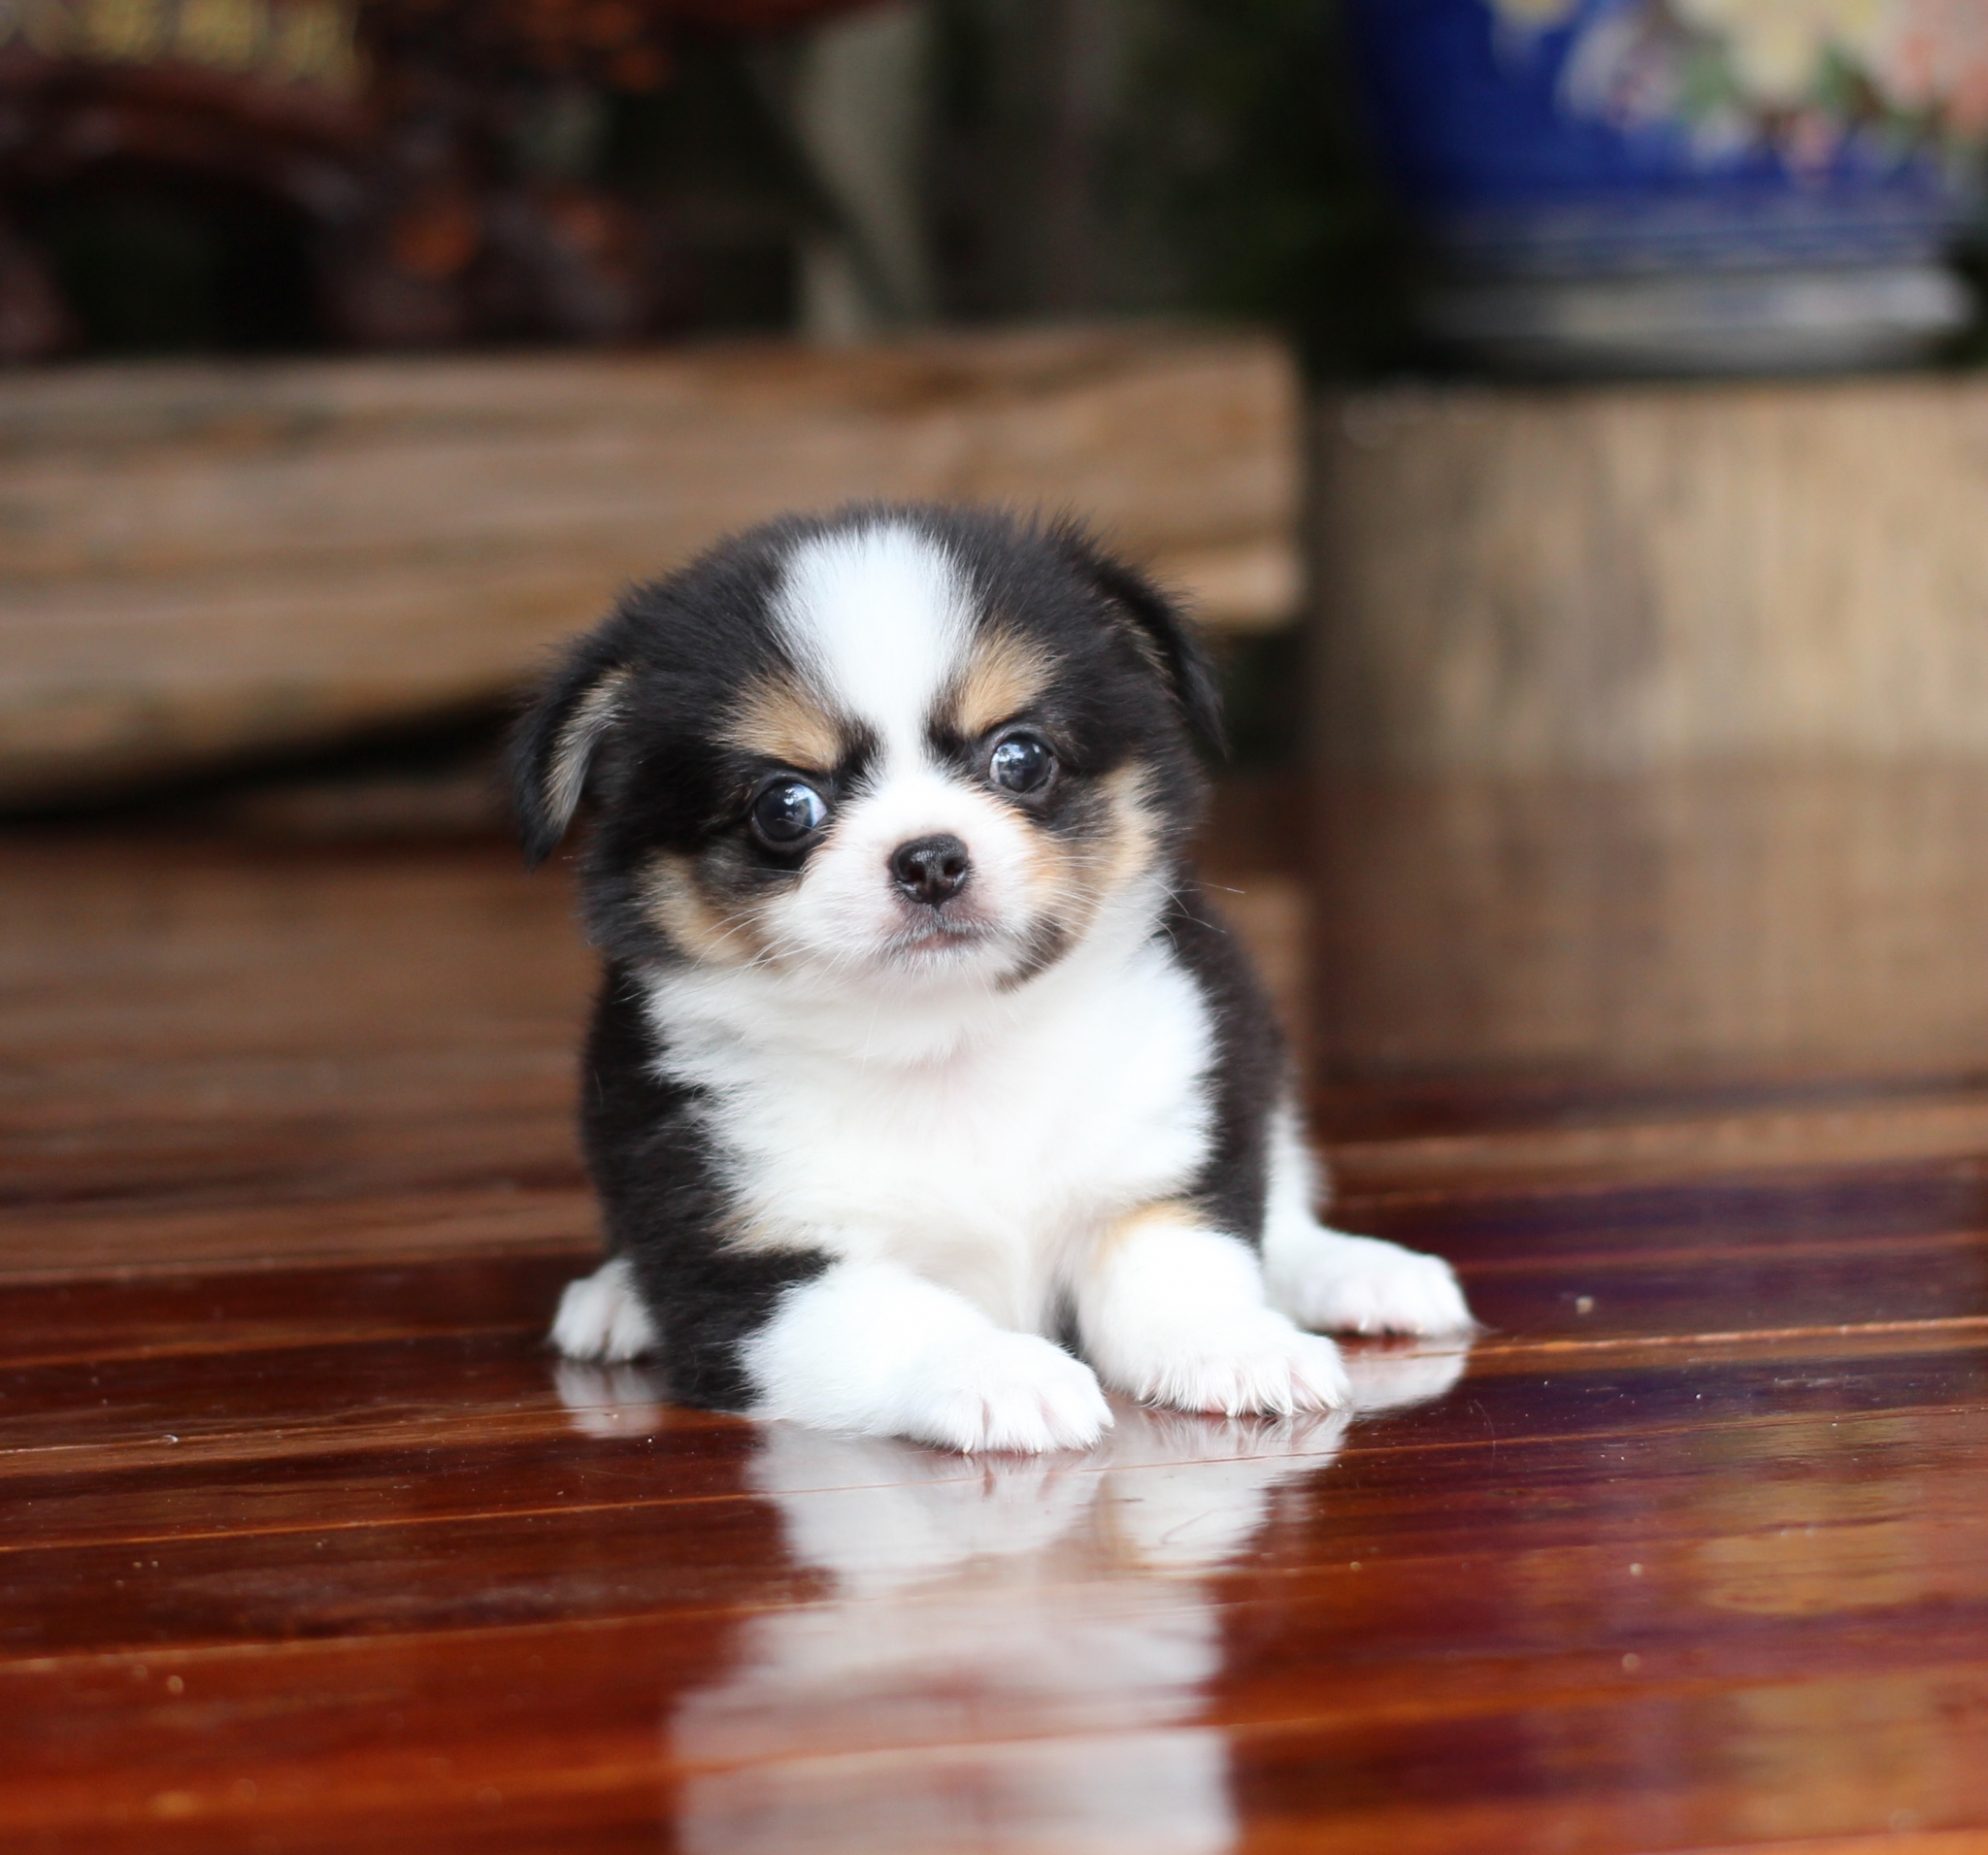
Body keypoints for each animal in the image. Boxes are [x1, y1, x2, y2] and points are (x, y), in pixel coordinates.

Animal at [513, 504, 1472, 1453]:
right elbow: (896, 1318)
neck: (953, 1042)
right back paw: (616, 1299)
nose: (931, 858)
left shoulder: (1167, 1155)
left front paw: (1233, 1347)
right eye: (785, 807)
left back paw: (1360, 1272)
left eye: (1021, 758)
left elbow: (1180, 1266)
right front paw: (1002, 1372)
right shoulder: (750, 1270)